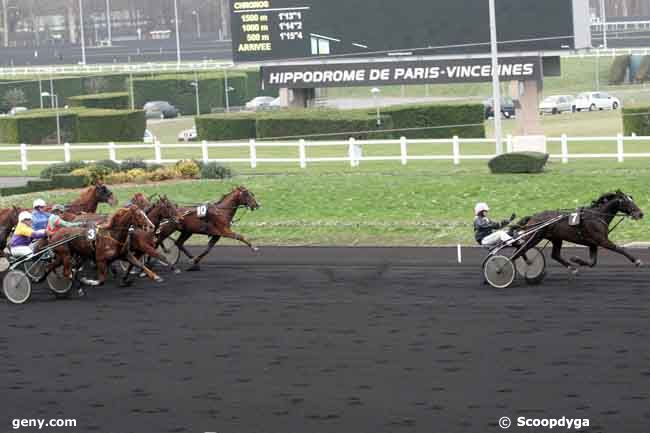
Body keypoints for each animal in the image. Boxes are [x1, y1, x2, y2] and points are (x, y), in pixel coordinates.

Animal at [512, 190, 644, 272]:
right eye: (627, 201)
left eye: (632, 199)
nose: (640, 214)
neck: (597, 216)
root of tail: (533, 217)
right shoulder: (602, 241)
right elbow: (620, 249)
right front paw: (637, 261)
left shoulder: (593, 243)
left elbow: (592, 262)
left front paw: (576, 260)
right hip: (534, 237)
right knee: (520, 250)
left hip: (556, 238)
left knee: (555, 255)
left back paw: (572, 268)